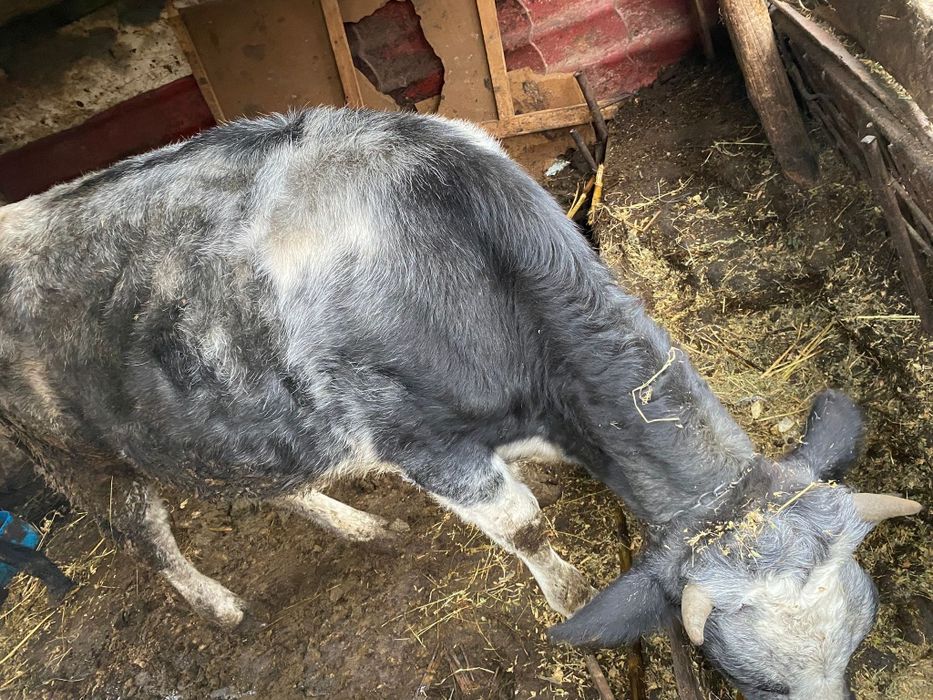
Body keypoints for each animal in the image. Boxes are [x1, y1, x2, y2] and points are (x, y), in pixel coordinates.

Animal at [0, 108, 920, 699]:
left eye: (855, 651)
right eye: (743, 678)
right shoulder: (425, 446)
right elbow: (524, 527)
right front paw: (566, 591)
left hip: (231, 420)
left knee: (268, 481)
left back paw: (357, 525)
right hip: (71, 450)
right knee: (144, 535)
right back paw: (218, 604)